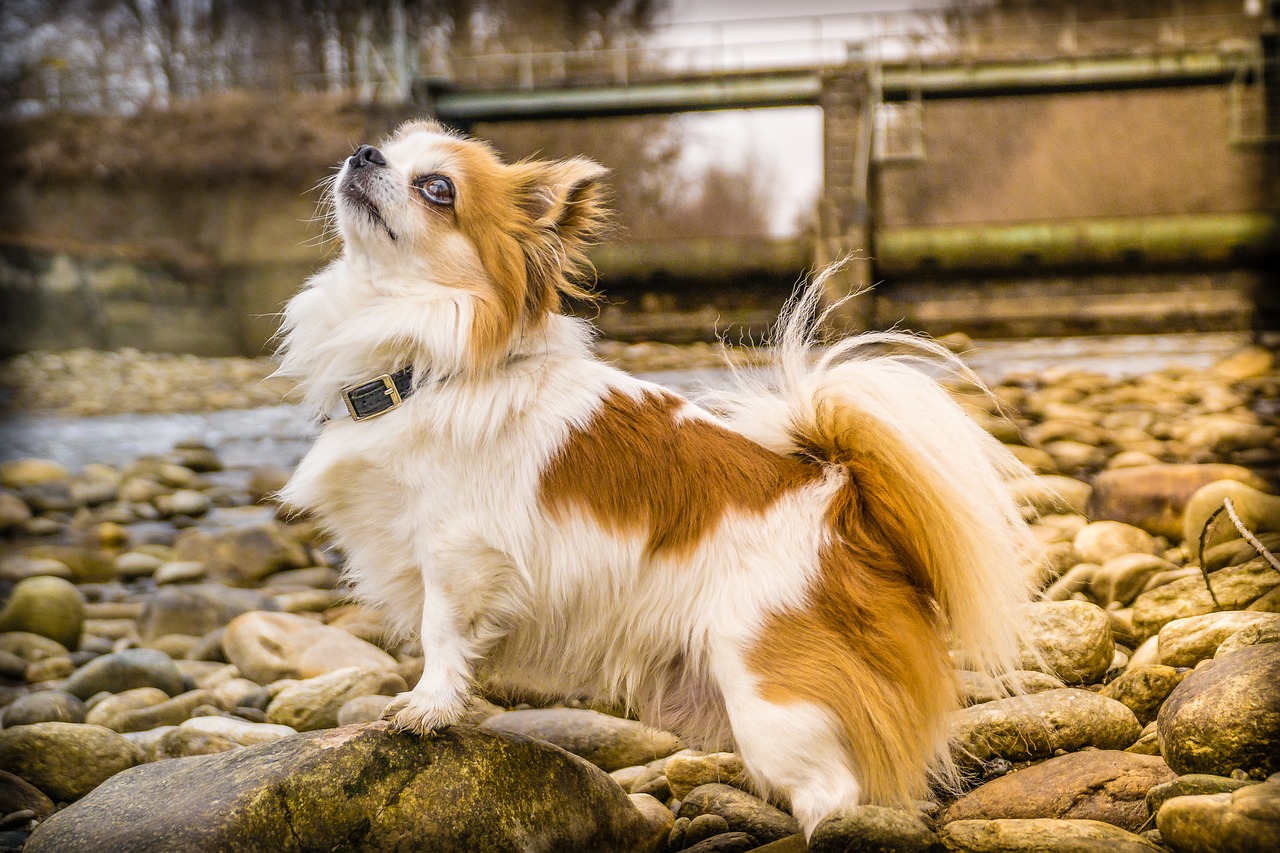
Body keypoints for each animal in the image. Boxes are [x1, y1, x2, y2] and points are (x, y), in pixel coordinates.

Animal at [272, 119, 1039, 829]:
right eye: (388, 148)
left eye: (438, 189)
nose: (363, 152)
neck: (419, 366)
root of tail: (845, 505)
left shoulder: (457, 551)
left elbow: (439, 632)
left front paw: (428, 706)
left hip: (772, 699)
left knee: (834, 794)